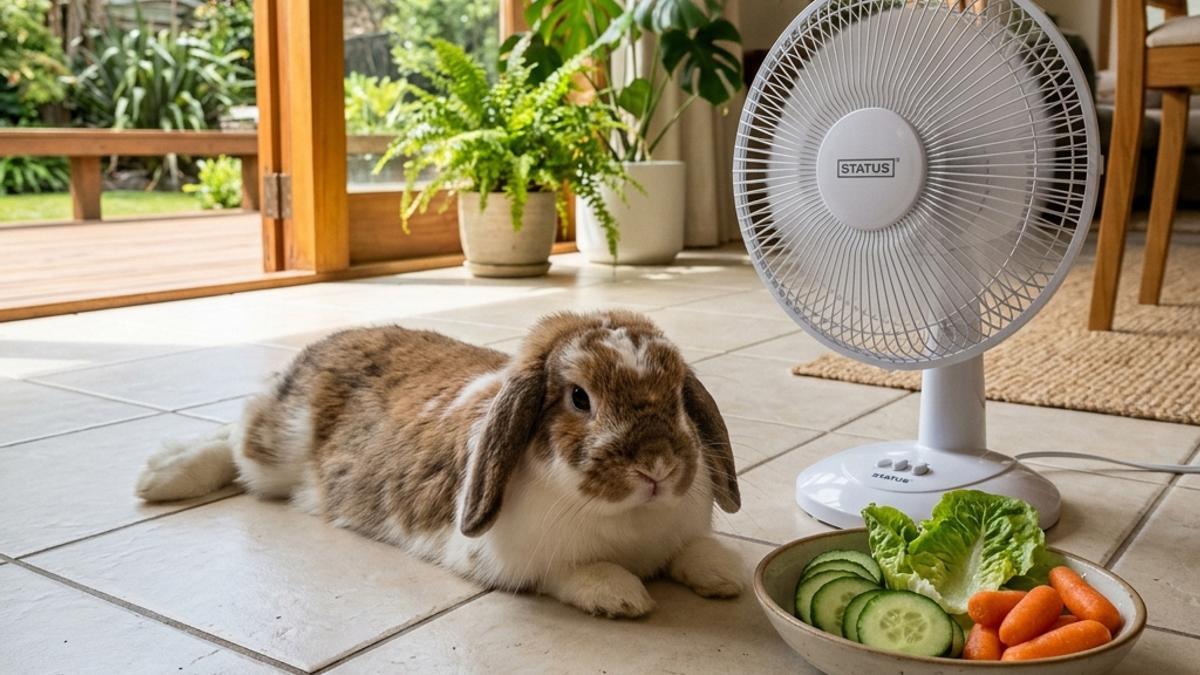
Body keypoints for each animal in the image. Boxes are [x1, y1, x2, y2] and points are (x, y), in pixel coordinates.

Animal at [135, 309, 744, 618]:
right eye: (579, 398)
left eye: (678, 396)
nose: (657, 466)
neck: (628, 521)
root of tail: (327, 342)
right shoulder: (514, 559)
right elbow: (573, 574)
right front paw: (622, 596)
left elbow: (693, 550)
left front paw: (726, 575)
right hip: (276, 446)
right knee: (234, 437)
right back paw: (160, 475)